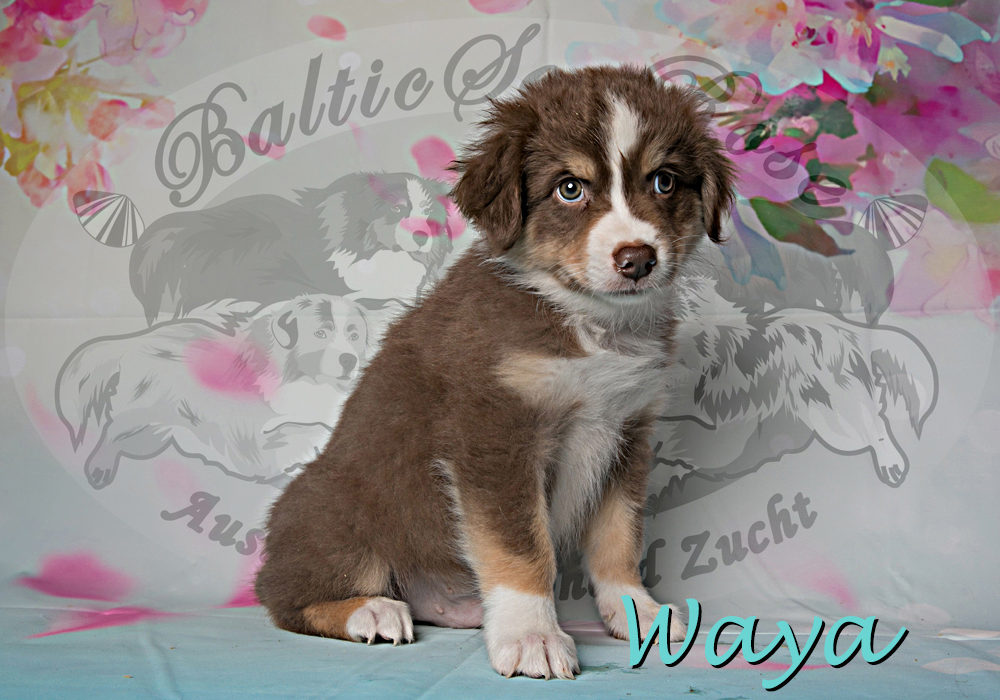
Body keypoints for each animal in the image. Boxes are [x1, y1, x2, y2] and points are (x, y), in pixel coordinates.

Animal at [55, 295, 368, 489]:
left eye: (354, 335)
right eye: (320, 333)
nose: (349, 360)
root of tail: (129, 342)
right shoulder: (250, 442)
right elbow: (299, 431)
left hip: (151, 434)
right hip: (140, 416)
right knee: (111, 432)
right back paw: (99, 468)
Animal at [254, 65, 736, 680]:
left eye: (664, 182)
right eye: (570, 188)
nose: (638, 260)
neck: (588, 323)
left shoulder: (626, 435)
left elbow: (618, 540)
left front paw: (640, 614)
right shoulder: (495, 433)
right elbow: (521, 547)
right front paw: (533, 636)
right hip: (335, 512)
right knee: (284, 596)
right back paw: (371, 611)